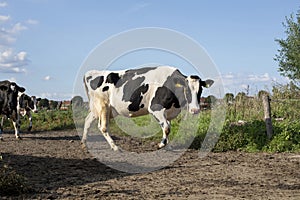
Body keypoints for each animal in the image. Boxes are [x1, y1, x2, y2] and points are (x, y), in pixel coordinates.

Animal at [82, 66, 213, 151]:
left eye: (200, 90)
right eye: (187, 90)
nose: (195, 110)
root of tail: (91, 73)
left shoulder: (168, 112)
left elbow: (168, 126)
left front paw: (168, 145)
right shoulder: (156, 108)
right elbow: (166, 127)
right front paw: (161, 145)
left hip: (99, 109)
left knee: (88, 121)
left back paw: (84, 142)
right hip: (103, 105)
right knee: (103, 127)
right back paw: (115, 147)